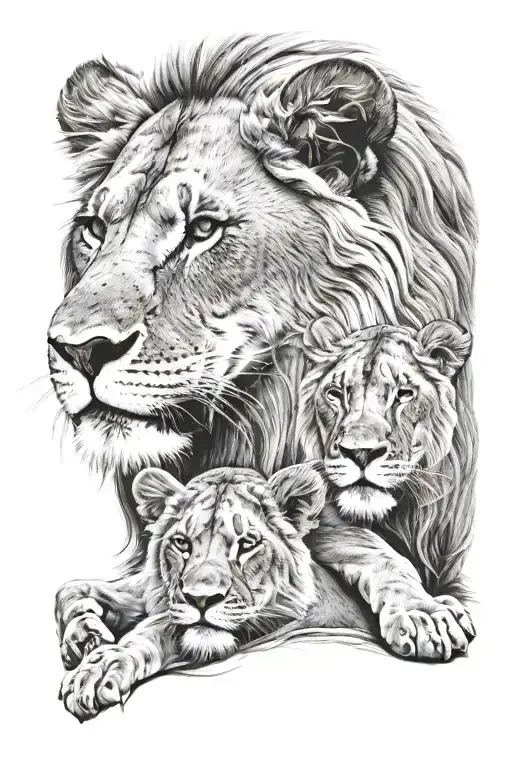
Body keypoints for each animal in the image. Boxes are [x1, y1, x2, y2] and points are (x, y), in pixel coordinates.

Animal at [57, 463, 376, 721]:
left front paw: (98, 668)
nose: (201, 599)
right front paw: (85, 633)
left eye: (247, 543)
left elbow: (158, 626)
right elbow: (70, 590)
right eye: (182, 543)